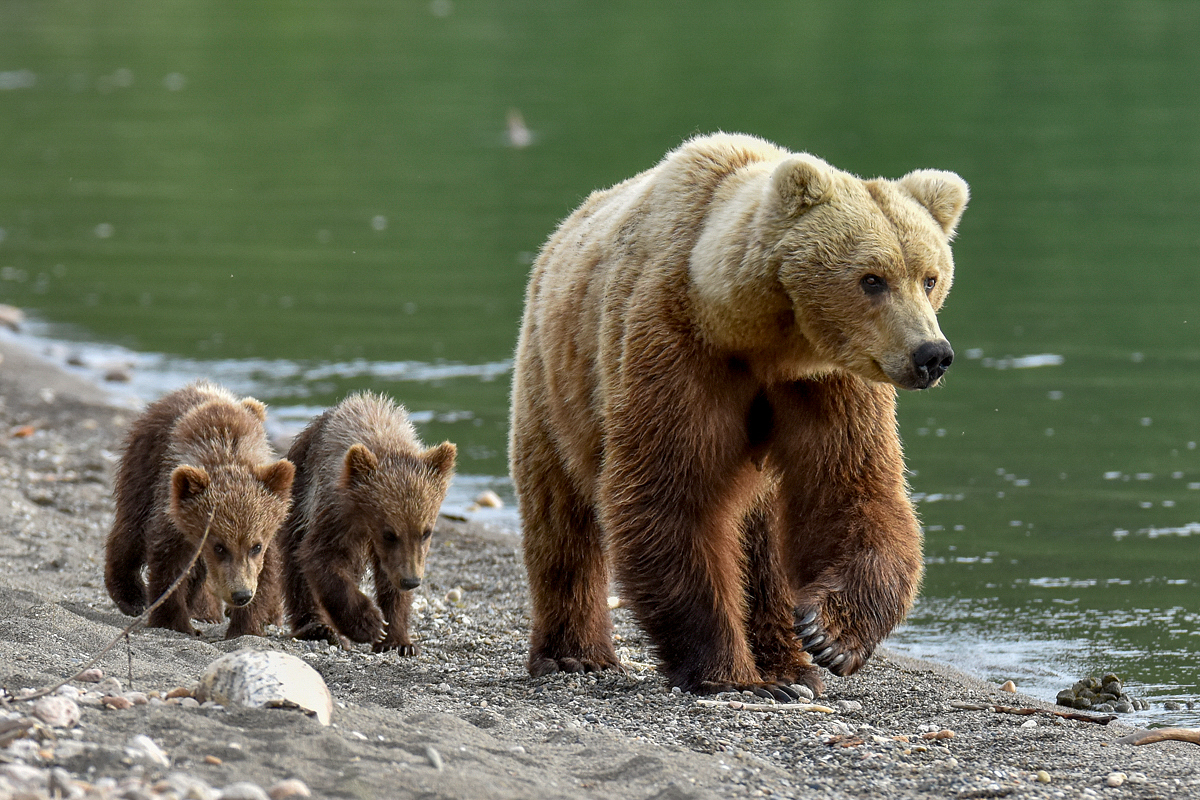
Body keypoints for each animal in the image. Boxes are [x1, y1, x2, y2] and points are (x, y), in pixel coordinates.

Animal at [106, 381, 297, 638]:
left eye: (255, 546)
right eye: (219, 547)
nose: (241, 595)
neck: (226, 451)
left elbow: (266, 571)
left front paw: (245, 627)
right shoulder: (172, 512)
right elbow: (170, 563)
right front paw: (174, 621)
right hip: (144, 466)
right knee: (131, 528)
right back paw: (132, 596)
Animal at [278, 391, 456, 652]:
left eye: (426, 532)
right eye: (389, 533)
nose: (411, 580)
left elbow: (389, 580)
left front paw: (398, 640)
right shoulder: (333, 512)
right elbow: (321, 557)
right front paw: (369, 623)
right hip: (299, 493)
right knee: (295, 562)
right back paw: (318, 627)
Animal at [511, 131, 969, 695]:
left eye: (929, 277)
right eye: (871, 278)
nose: (932, 354)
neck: (758, 335)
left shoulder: (829, 382)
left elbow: (852, 489)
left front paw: (829, 634)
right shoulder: (673, 349)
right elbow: (670, 494)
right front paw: (729, 675)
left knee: (762, 543)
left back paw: (788, 665)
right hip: (555, 383)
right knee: (559, 513)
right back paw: (574, 655)